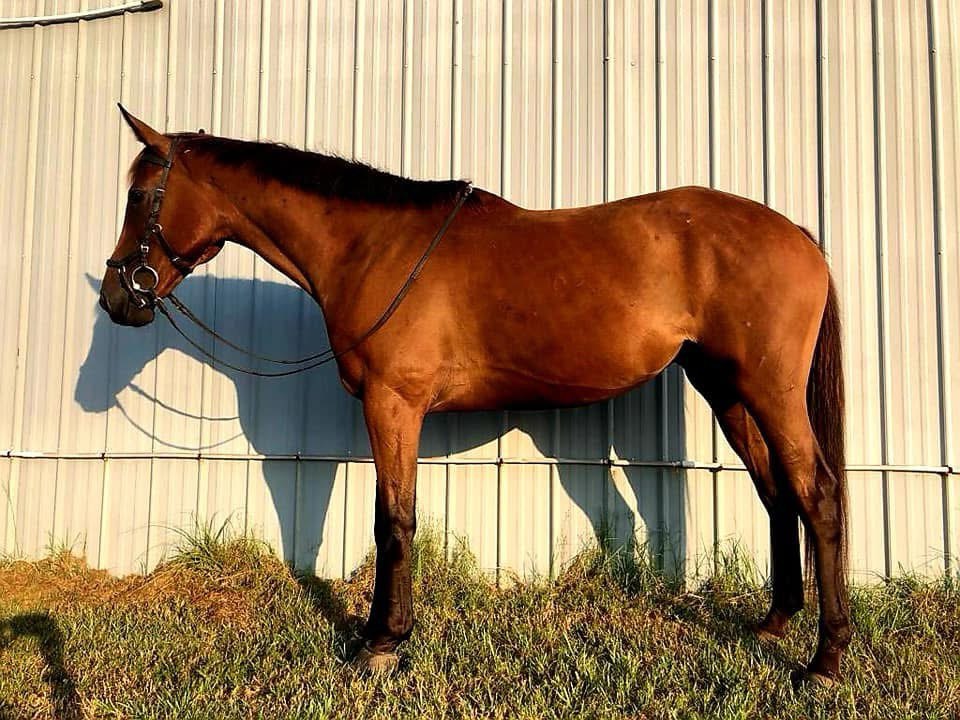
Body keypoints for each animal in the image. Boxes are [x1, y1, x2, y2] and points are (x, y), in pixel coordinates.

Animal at [99, 106, 849, 685]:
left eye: (139, 196)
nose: (116, 298)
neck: (373, 246)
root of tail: (798, 235)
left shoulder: (392, 404)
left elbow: (393, 521)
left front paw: (380, 644)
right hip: (726, 389)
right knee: (778, 494)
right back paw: (773, 623)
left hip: (770, 390)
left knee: (816, 494)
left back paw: (825, 659)